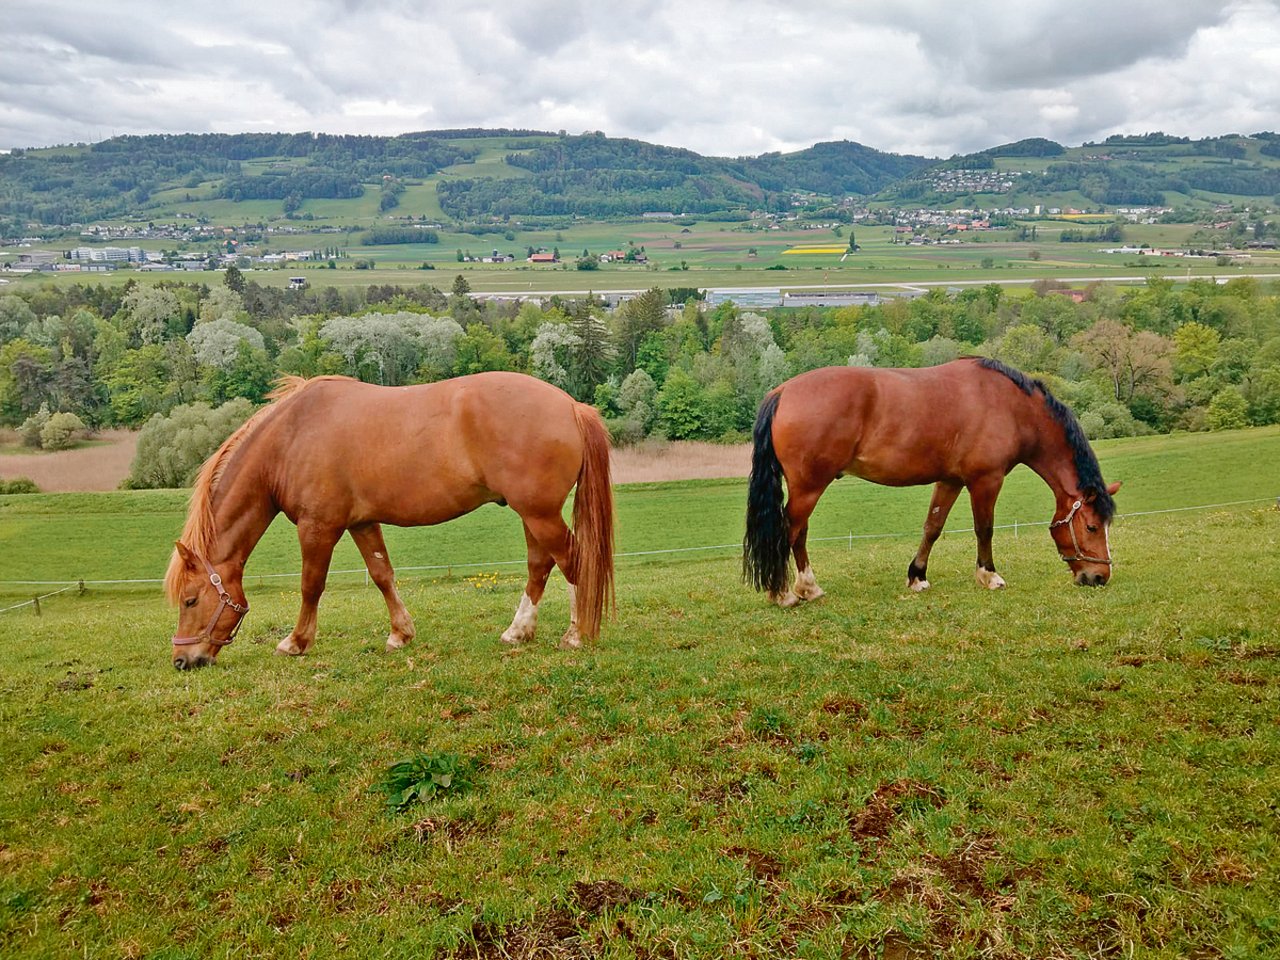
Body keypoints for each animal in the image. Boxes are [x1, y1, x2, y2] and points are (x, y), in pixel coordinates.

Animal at [167, 371, 616, 670]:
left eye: (190, 600)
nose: (182, 660)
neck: (291, 438)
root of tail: (571, 407)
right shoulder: (362, 523)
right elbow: (383, 575)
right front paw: (401, 634)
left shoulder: (318, 527)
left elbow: (311, 585)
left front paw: (296, 642)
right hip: (532, 514)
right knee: (540, 566)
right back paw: (518, 631)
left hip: (539, 514)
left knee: (573, 562)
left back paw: (575, 635)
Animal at [742, 360, 1121, 609]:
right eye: (1090, 526)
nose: (1099, 577)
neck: (1011, 407)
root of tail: (783, 391)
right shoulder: (985, 480)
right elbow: (984, 529)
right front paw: (989, 576)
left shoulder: (950, 480)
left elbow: (932, 527)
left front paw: (917, 576)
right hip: (809, 487)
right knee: (790, 531)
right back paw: (786, 593)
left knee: (799, 533)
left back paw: (809, 588)